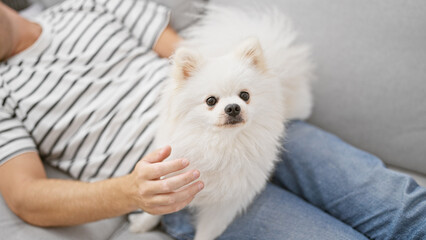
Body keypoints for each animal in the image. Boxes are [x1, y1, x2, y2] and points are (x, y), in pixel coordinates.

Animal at [127, 2, 312, 240]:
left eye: (245, 95)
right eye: (211, 101)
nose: (232, 107)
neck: (222, 144)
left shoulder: (223, 206)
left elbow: (206, 233)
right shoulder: (170, 177)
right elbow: (156, 209)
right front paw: (142, 224)